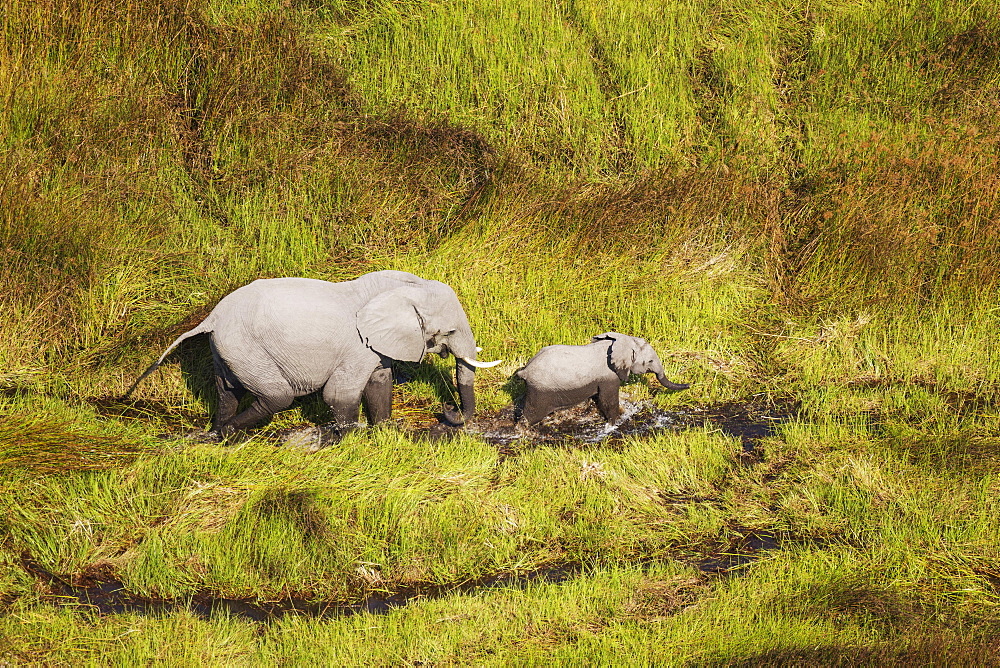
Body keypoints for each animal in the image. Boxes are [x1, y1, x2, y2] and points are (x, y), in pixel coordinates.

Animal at [125, 268, 500, 436]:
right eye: (449, 331)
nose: (447, 411)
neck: (405, 287)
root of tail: (212, 316)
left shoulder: (375, 347)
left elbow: (380, 382)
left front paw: (383, 432)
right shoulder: (357, 345)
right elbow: (340, 393)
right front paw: (352, 438)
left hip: (227, 348)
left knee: (227, 391)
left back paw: (219, 432)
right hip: (247, 347)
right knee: (277, 396)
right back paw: (232, 431)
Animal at [516, 332, 688, 428]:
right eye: (650, 361)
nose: (689, 385)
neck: (620, 343)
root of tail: (526, 370)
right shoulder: (608, 377)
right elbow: (607, 401)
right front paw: (613, 425)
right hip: (540, 391)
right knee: (532, 415)